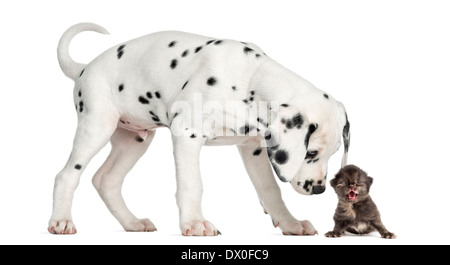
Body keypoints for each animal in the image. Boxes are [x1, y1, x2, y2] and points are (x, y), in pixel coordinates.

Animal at [49, 21, 352, 234]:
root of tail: (84, 68)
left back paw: (132, 223)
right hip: (96, 127)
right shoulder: (186, 135)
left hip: (133, 142)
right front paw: (195, 224)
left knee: (106, 180)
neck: (250, 78)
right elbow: (192, 184)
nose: (319, 190)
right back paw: (61, 221)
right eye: (310, 153)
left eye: (334, 154)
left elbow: (269, 189)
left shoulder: (253, 148)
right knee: (67, 175)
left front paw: (290, 223)